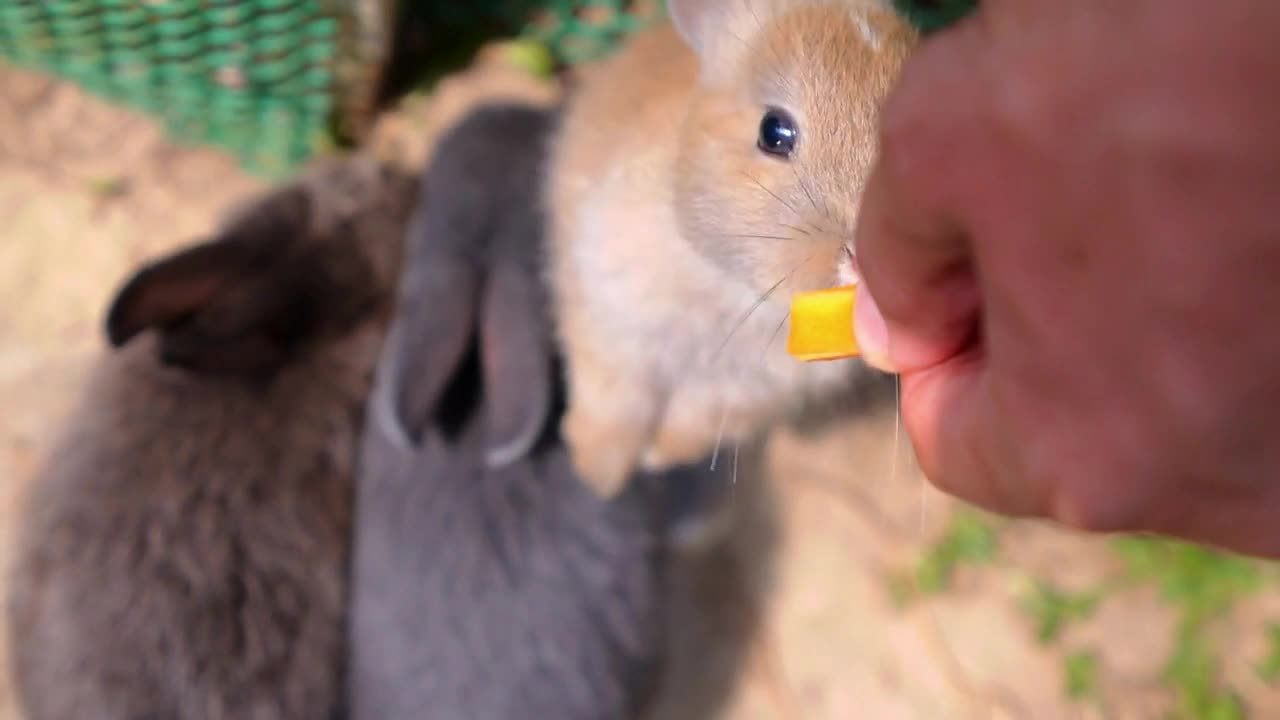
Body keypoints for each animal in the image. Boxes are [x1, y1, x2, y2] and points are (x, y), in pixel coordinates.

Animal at [542, 0, 921, 497]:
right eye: (774, 132)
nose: (868, 258)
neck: (735, 289)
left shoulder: (740, 393)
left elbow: (690, 423)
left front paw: (656, 457)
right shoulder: (611, 323)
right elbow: (615, 404)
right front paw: (600, 475)